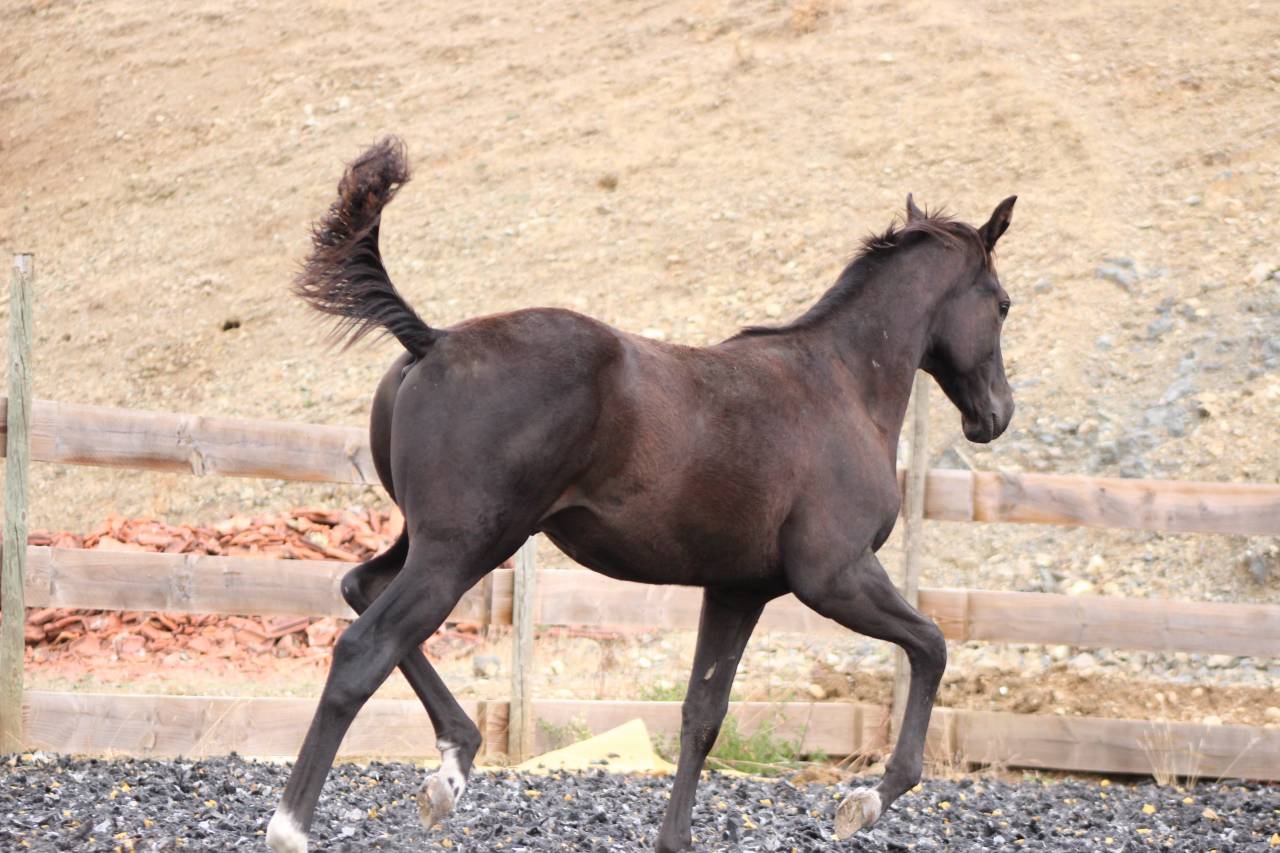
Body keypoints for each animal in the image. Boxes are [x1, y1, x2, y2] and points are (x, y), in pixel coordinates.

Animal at [266, 137, 1016, 852]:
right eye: (1003, 304)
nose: (996, 414)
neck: (841, 385)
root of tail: (434, 340)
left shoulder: (739, 589)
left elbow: (701, 715)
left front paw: (674, 839)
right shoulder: (835, 575)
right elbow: (932, 645)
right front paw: (863, 802)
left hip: (434, 541)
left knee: (361, 588)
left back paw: (452, 767)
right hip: (462, 549)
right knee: (364, 648)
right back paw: (292, 827)